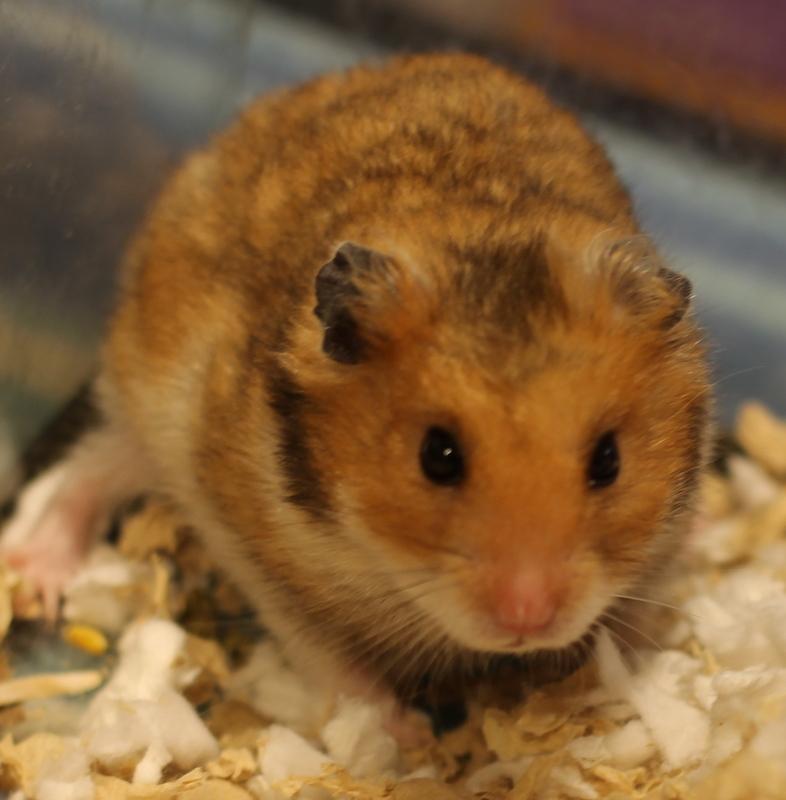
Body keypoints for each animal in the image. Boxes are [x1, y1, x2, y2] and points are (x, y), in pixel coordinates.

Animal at [2, 54, 712, 713]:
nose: (528, 621)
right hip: (145, 397)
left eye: (608, 460)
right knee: (84, 471)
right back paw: (35, 577)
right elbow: (334, 663)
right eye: (437, 456)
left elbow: (633, 617)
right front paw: (401, 735)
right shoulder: (257, 553)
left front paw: (620, 678)